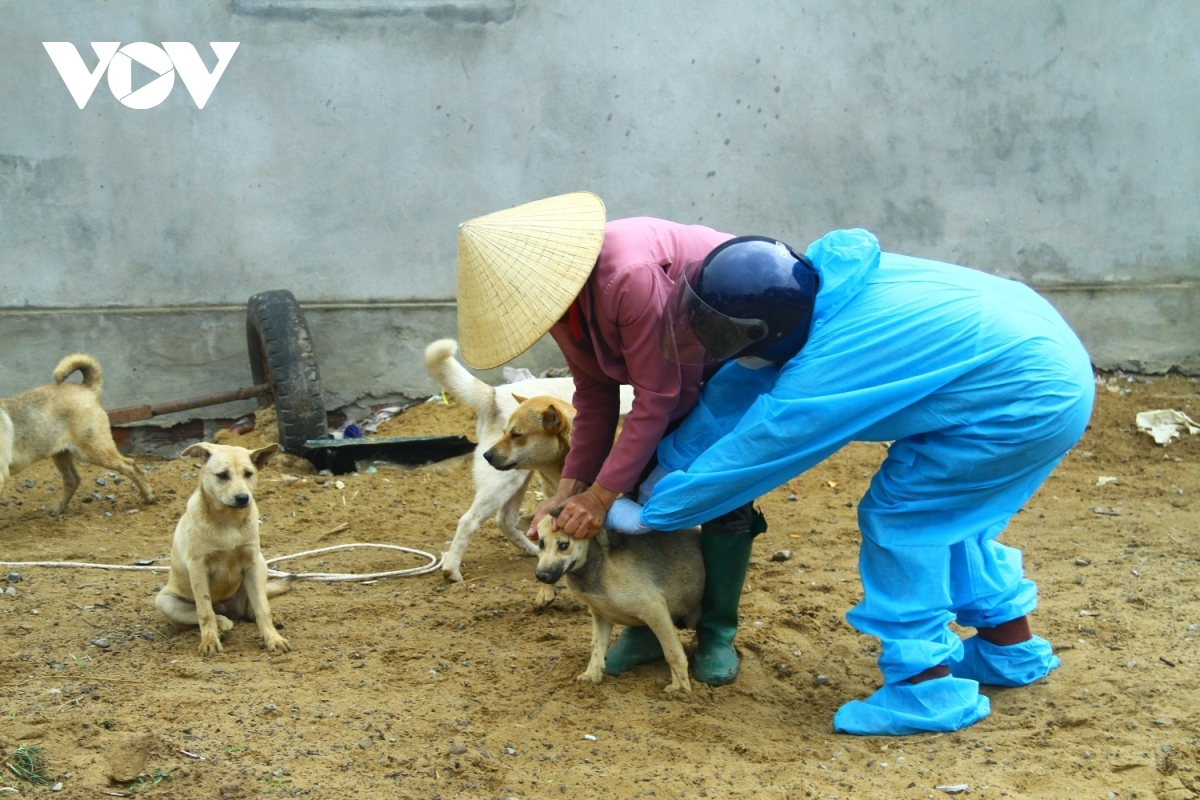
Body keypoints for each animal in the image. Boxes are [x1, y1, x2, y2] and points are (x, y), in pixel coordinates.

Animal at [0, 352, 157, 515]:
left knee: (128, 464)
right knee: (72, 479)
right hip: (61, 453)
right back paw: (58, 508)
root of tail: (86, 388)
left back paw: (149, 495)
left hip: (95, 450)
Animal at [157, 441, 292, 652]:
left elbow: (263, 608)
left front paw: (273, 639)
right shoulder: (198, 568)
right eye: (222, 475)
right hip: (165, 601)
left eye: (248, 473)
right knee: (206, 615)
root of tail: (227, 607)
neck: (229, 521)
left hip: (261, 563)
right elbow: (204, 611)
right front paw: (210, 641)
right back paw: (222, 625)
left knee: (249, 611)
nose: (243, 498)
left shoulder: (252, 563)